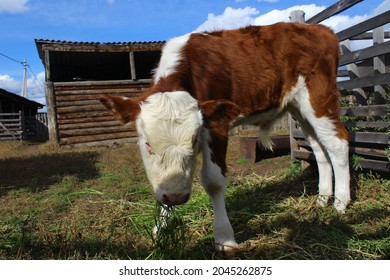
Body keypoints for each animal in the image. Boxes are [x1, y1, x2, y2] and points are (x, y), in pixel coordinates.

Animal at [100, 22, 350, 252]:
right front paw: (160, 229)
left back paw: (340, 202)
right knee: (318, 147)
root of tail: (321, 29)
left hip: (318, 97)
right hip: (298, 108)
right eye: (148, 144)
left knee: (337, 142)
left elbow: (213, 181)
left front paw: (224, 238)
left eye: (194, 141)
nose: (177, 198)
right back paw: (323, 198)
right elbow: (163, 181)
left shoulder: (216, 124)